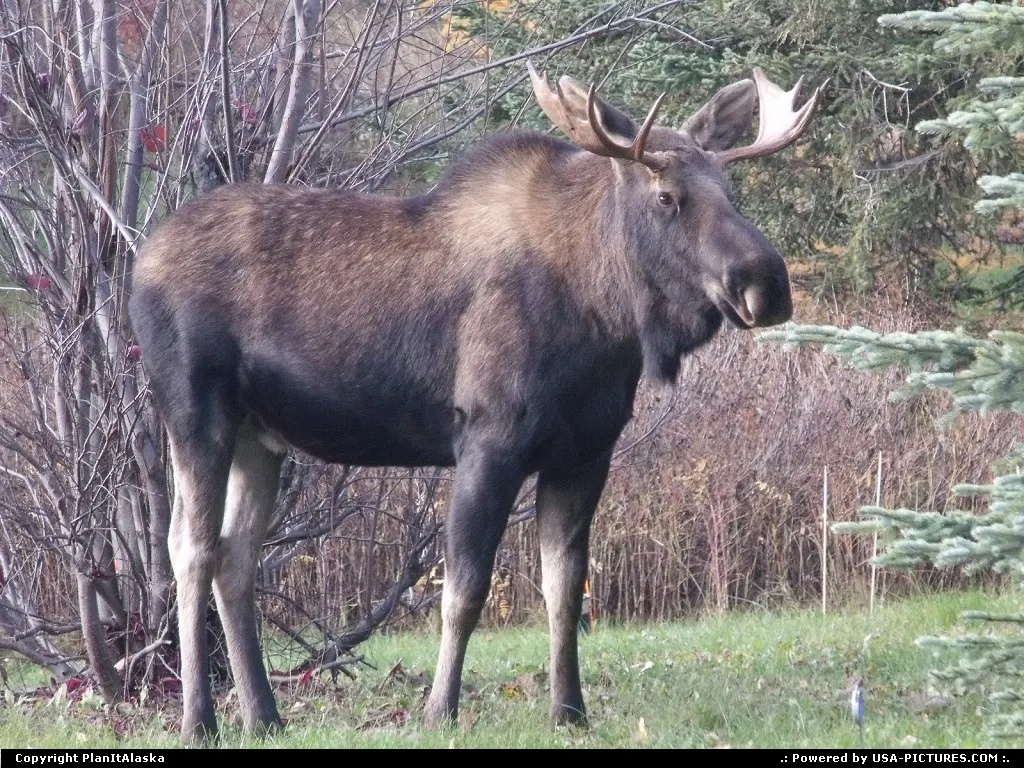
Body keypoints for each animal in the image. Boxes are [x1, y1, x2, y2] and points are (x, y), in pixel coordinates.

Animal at [129, 63, 826, 744]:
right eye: (666, 197)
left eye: (730, 191)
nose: (766, 282)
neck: (607, 316)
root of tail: (139, 262)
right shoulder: (489, 442)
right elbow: (464, 591)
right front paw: (441, 710)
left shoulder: (585, 453)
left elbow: (564, 589)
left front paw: (569, 710)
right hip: (194, 412)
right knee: (190, 549)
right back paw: (199, 720)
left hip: (262, 438)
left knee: (236, 557)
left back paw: (264, 716)